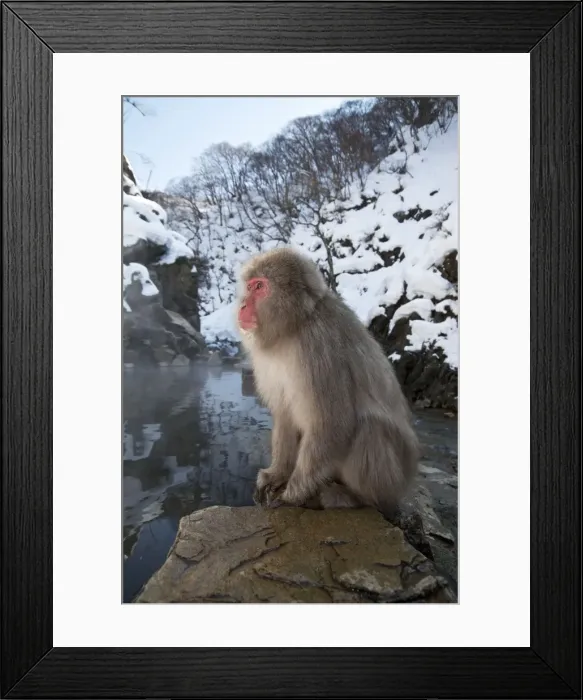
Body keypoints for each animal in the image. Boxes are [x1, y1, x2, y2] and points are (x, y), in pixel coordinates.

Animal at [236, 246, 420, 516]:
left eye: (259, 286)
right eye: (249, 286)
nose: (242, 305)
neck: (295, 325)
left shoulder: (318, 346)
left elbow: (333, 422)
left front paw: (293, 494)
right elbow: (285, 414)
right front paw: (276, 474)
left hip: (392, 482)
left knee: (369, 426)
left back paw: (356, 498)